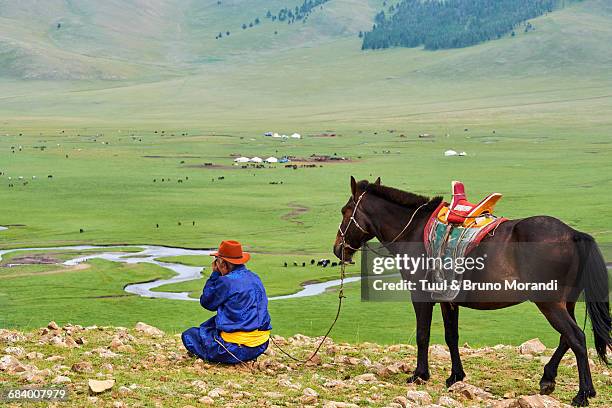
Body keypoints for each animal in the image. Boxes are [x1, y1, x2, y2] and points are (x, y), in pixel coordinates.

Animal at [334, 177, 612, 406]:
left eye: (345, 211)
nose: (338, 249)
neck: (413, 231)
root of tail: (573, 234)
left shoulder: (421, 295)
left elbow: (423, 335)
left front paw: (419, 375)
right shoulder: (447, 299)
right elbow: (451, 336)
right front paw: (455, 376)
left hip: (549, 303)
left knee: (576, 338)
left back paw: (582, 394)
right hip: (566, 302)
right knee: (567, 338)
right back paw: (548, 380)